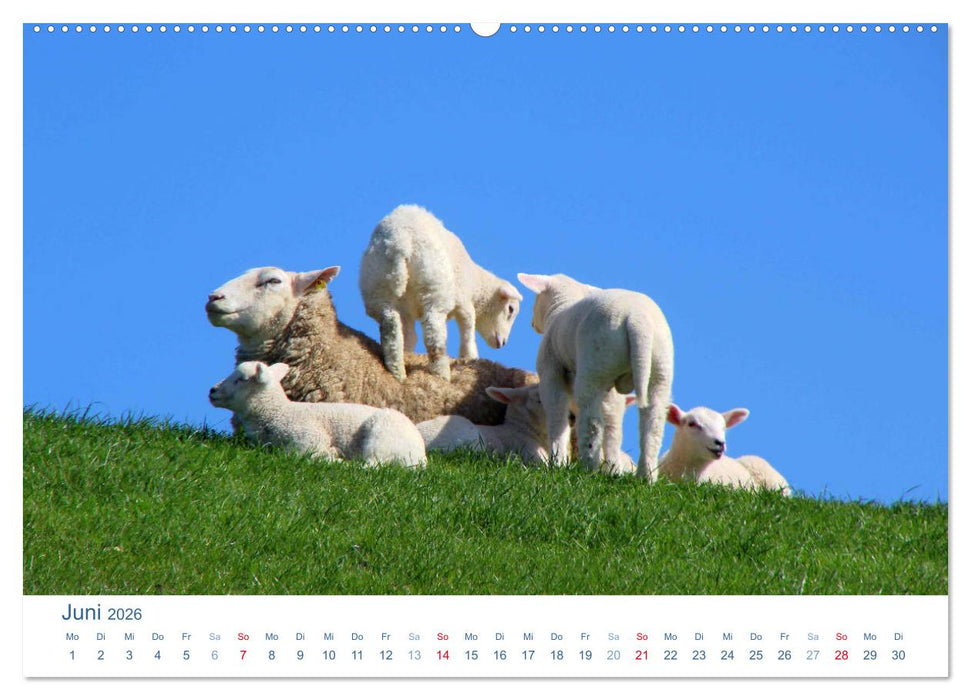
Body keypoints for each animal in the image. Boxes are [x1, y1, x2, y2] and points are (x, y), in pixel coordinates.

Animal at [209, 361, 427, 468]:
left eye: (241, 379)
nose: (212, 391)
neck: (277, 413)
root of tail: (419, 458)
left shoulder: (309, 438)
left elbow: (301, 454)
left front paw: (330, 454)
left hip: (381, 438)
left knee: (372, 465)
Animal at [359, 204, 523, 382]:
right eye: (511, 309)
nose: (503, 343)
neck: (475, 283)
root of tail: (400, 242)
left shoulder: (406, 312)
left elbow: (410, 338)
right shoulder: (464, 300)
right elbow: (468, 328)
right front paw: (470, 357)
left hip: (378, 285)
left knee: (392, 328)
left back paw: (397, 372)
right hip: (433, 286)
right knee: (434, 333)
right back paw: (441, 373)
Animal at [517, 272, 674, 479]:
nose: (532, 323)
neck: (561, 307)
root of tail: (637, 320)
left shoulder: (550, 372)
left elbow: (557, 415)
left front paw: (557, 460)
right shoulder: (611, 391)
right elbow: (613, 424)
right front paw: (613, 468)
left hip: (595, 363)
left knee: (591, 421)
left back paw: (588, 467)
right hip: (659, 367)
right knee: (653, 422)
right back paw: (646, 476)